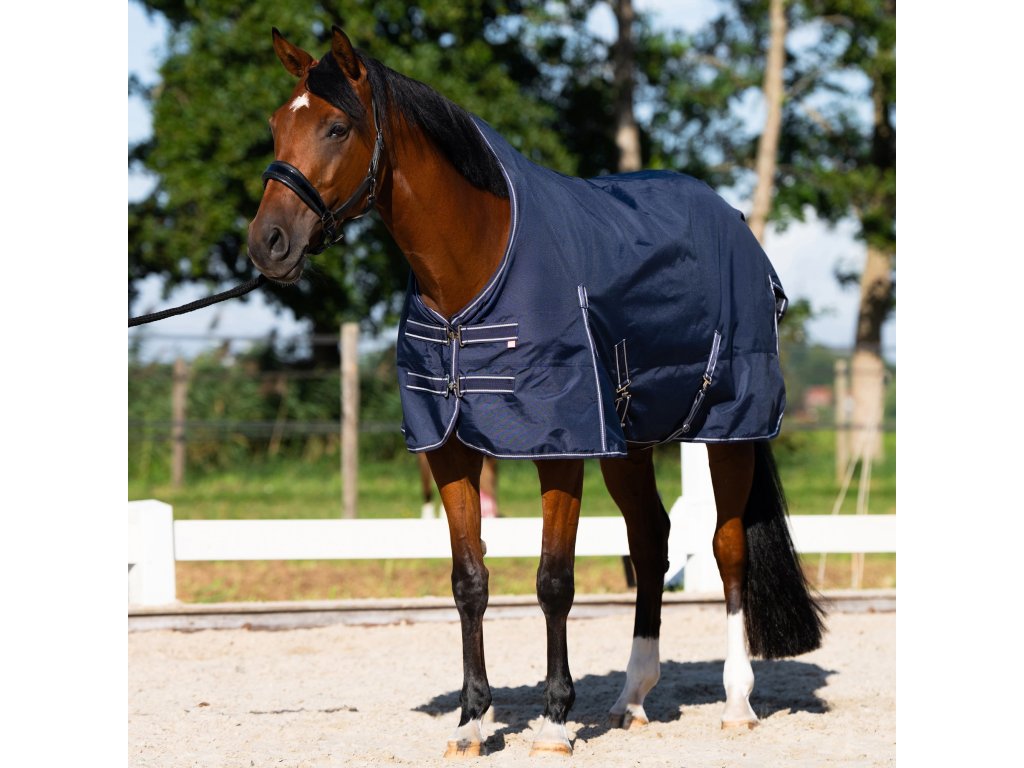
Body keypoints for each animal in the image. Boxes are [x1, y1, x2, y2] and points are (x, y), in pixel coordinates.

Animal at [247, 26, 825, 758]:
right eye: (276, 125)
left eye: (335, 126)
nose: (267, 243)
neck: (477, 265)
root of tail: (734, 220)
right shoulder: (451, 450)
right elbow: (469, 581)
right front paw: (471, 721)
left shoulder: (562, 448)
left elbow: (554, 581)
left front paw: (552, 722)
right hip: (631, 443)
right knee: (651, 542)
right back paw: (632, 697)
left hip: (730, 428)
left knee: (728, 550)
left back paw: (737, 702)